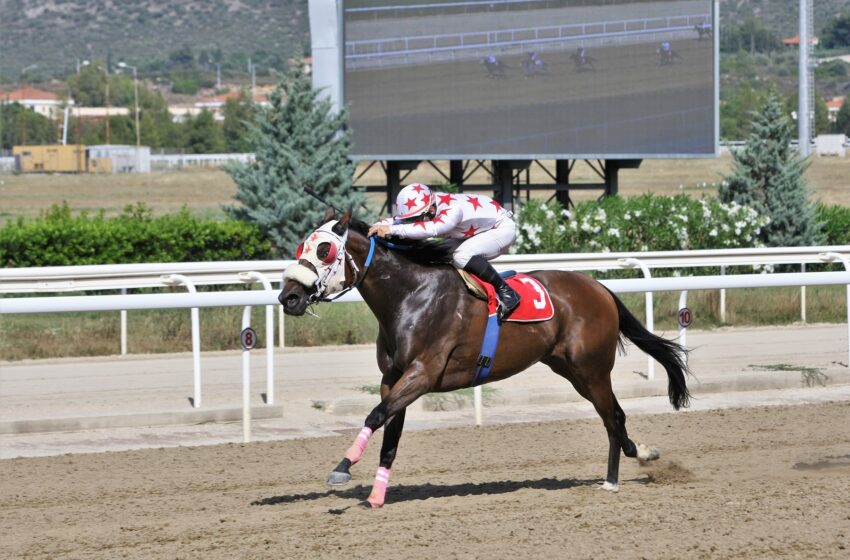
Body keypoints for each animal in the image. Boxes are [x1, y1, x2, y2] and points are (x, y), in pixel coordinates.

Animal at [278, 209, 688, 508]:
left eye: (324, 250)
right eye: (301, 246)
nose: (288, 297)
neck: (411, 296)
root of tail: (600, 287)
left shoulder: (422, 374)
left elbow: (375, 416)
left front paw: (342, 467)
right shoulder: (393, 378)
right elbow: (390, 433)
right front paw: (377, 495)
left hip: (592, 369)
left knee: (612, 417)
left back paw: (613, 480)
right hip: (571, 369)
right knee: (613, 417)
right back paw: (640, 454)